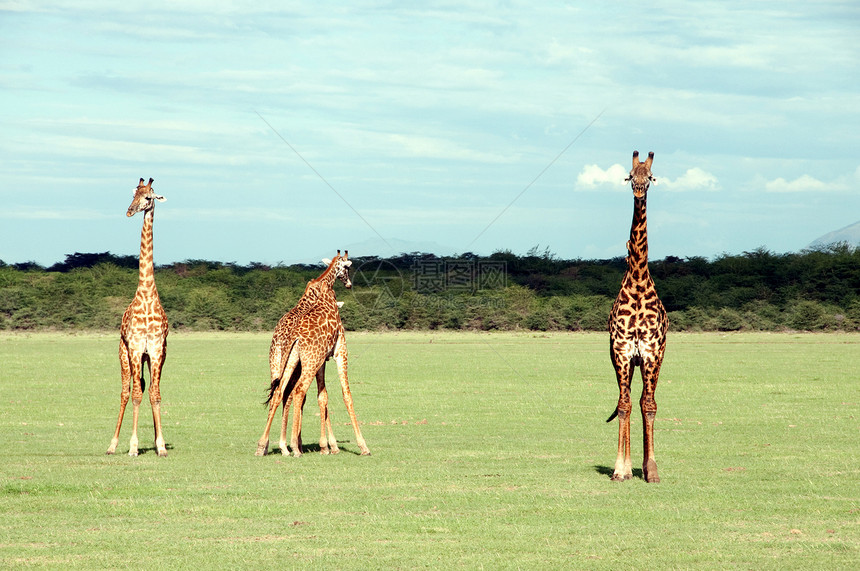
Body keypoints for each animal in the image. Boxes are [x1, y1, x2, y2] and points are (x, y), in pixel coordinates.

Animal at [252, 252, 366, 458]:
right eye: (347, 267)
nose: (348, 284)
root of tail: (291, 336)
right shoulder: (339, 350)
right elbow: (345, 394)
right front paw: (357, 446)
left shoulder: (321, 360)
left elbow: (322, 396)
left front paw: (327, 445)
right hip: (307, 362)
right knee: (297, 392)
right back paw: (292, 447)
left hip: (281, 362)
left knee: (280, 393)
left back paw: (266, 446)